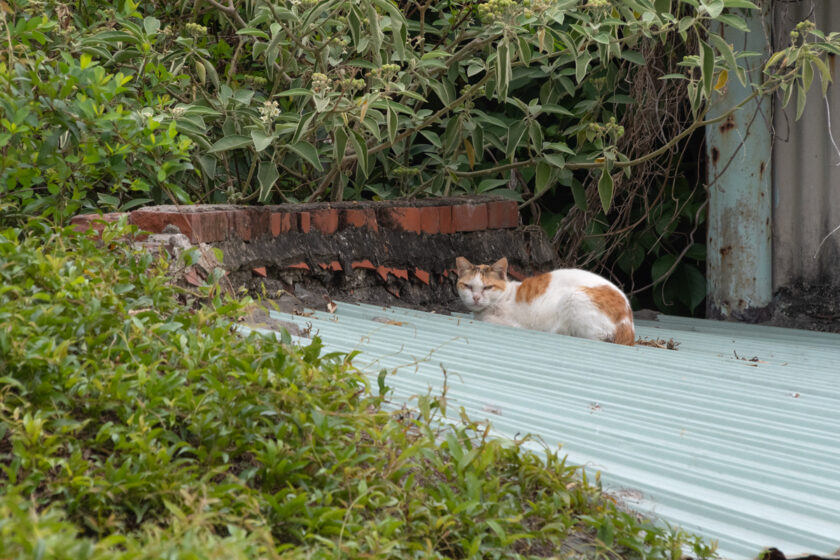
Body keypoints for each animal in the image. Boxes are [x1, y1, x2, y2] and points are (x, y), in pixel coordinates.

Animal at [456, 256, 632, 344]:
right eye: (468, 286)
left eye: (487, 287)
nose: (476, 297)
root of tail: (628, 321)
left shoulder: (511, 322)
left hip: (573, 298)